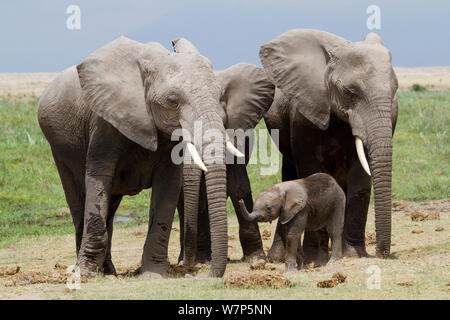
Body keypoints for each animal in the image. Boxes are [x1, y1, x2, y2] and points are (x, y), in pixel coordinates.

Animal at [38, 35, 246, 278]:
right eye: (172, 100)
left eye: (220, 96)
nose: (205, 273)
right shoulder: (104, 122)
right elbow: (98, 179)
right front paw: (87, 274)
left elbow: (168, 186)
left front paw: (153, 274)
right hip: (58, 147)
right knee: (79, 200)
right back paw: (90, 270)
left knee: (110, 206)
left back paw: (108, 271)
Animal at [258, 30, 400, 262]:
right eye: (349, 91)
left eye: (395, 90)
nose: (382, 254)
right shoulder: (304, 114)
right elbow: (311, 171)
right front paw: (314, 257)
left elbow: (360, 176)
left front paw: (353, 255)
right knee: (290, 175)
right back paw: (277, 258)